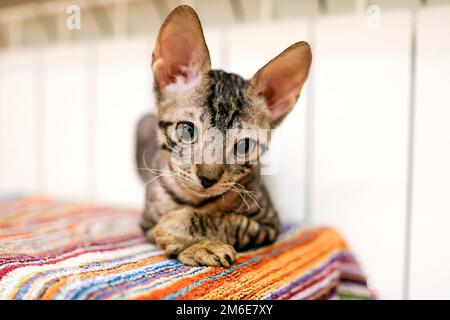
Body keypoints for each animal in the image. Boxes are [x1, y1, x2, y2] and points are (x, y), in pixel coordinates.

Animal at [135, 5, 312, 268]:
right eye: (187, 130)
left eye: (244, 146)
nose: (208, 178)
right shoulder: (146, 222)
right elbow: (158, 230)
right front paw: (198, 246)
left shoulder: (269, 225)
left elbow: (232, 221)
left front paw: (179, 228)